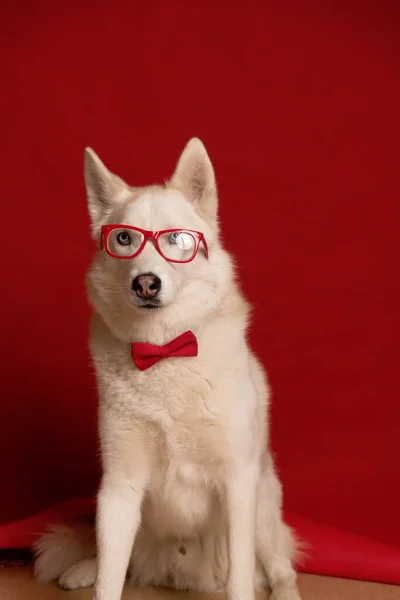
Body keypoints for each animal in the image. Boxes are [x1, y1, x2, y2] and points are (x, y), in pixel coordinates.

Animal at [34, 137, 302, 600]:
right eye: (124, 238)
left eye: (176, 239)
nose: (145, 283)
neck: (165, 352)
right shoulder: (119, 487)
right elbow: (109, 577)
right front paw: (96, 577)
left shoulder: (238, 483)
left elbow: (241, 577)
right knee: (113, 561)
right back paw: (82, 568)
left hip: (265, 508)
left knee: (280, 566)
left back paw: (285, 591)